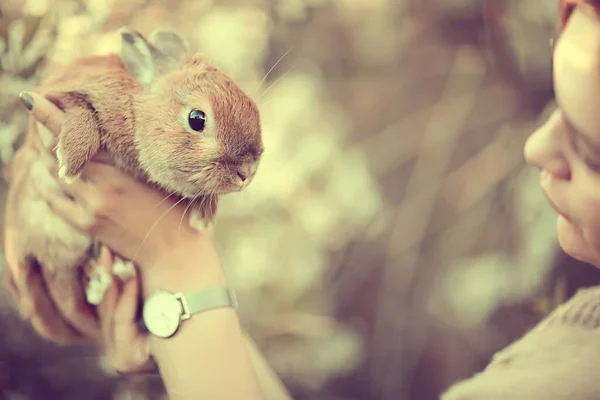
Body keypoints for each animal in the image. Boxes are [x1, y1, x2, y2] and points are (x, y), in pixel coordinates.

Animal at [4, 28, 262, 304]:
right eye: (196, 119)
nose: (246, 173)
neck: (137, 109)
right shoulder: (63, 93)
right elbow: (81, 109)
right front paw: (71, 163)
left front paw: (204, 215)